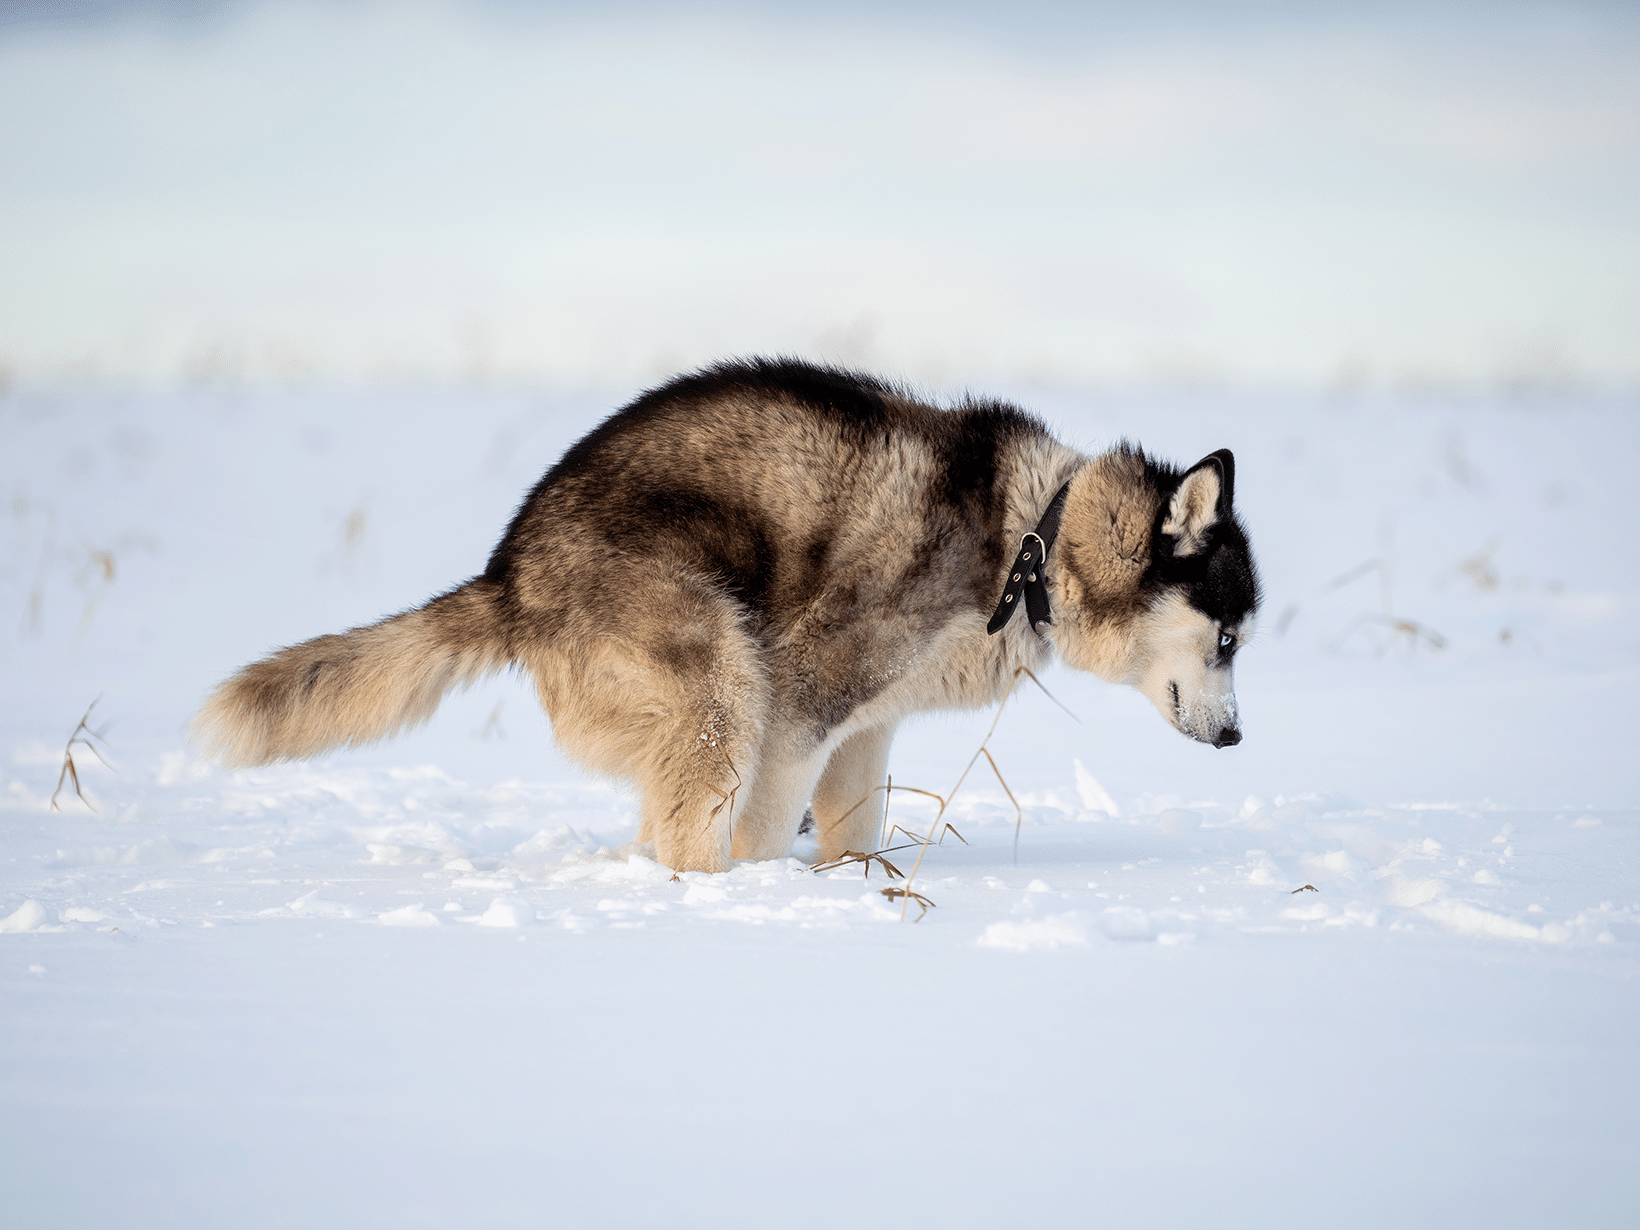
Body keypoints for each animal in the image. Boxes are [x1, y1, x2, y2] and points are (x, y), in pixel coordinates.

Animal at [198, 359, 1259, 879]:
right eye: (1230, 637)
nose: (1238, 737)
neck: (1033, 539)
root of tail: (508, 571)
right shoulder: (803, 704)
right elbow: (767, 825)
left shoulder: (866, 727)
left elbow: (853, 824)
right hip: (723, 682)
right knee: (695, 824)